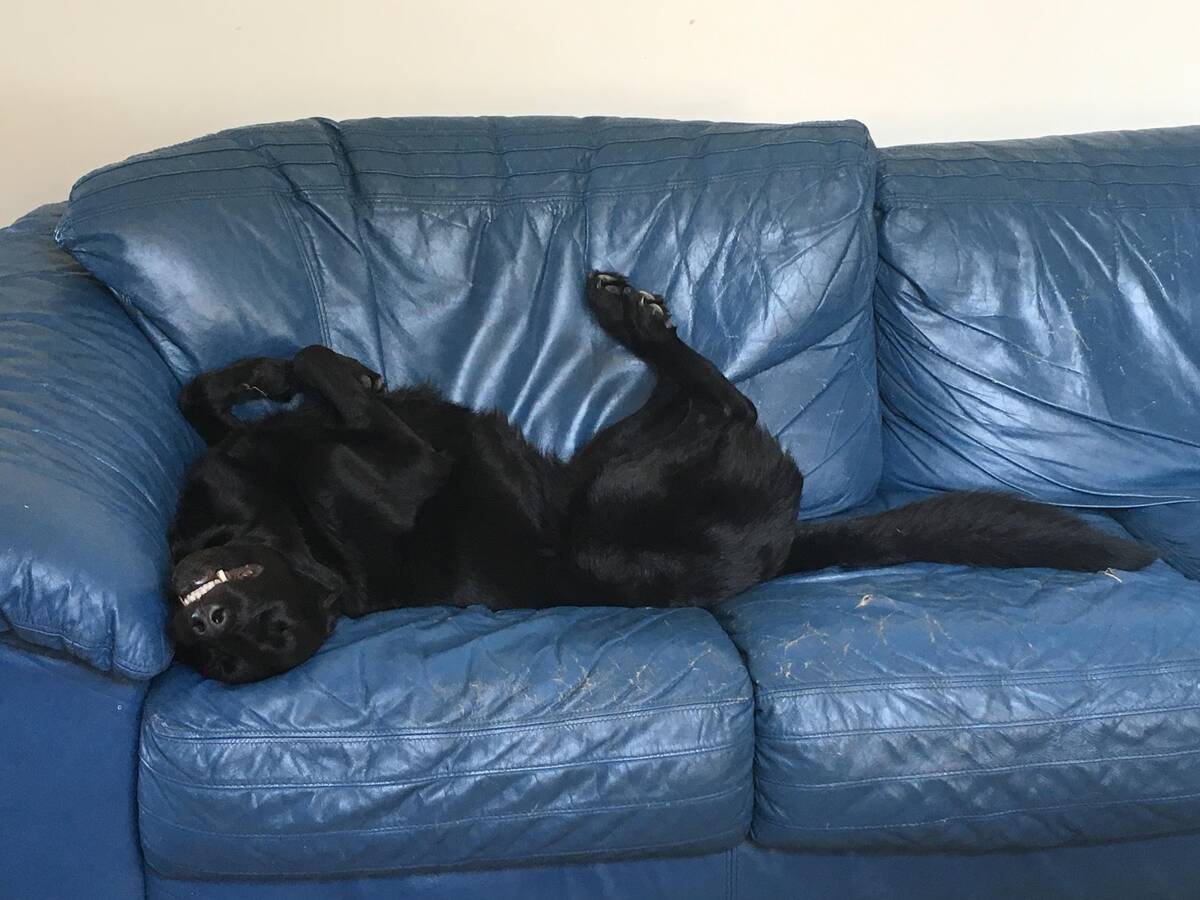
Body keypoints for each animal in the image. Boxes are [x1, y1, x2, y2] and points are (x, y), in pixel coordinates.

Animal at [168, 272, 1157, 683]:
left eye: (259, 630)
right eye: (237, 652)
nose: (205, 618)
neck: (295, 532)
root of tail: (783, 548)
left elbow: (213, 392)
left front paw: (269, 375)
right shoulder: (404, 459)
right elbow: (305, 382)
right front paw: (310, 374)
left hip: (602, 461)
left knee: (719, 398)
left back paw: (626, 311)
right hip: (613, 493)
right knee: (731, 406)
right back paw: (630, 313)